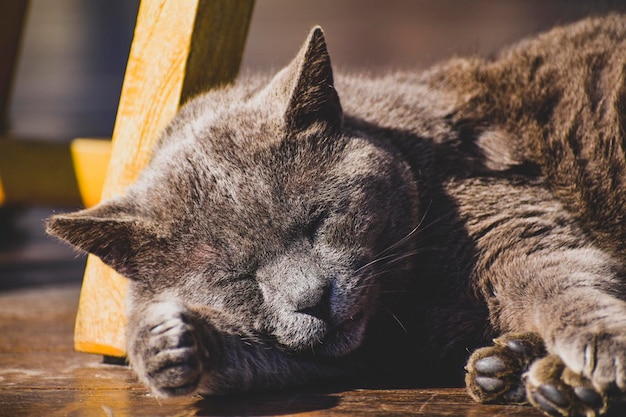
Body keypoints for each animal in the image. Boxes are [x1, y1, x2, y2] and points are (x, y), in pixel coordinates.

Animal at [47, 14, 624, 414]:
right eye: (238, 278)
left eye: (319, 221)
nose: (313, 299)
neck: (404, 305)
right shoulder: (359, 351)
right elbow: (267, 358)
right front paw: (166, 344)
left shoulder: (513, 226)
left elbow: (563, 284)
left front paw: (604, 349)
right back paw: (512, 368)